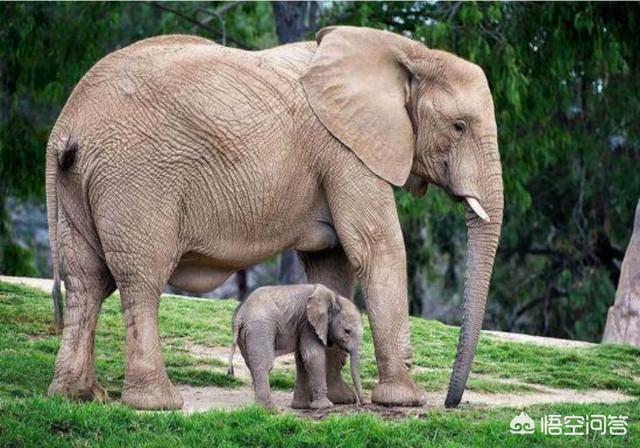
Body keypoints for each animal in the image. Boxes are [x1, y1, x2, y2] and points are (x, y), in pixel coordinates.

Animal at [227, 283, 364, 410]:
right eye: (347, 331)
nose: (362, 403)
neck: (334, 297)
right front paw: (325, 406)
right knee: (264, 363)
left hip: (244, 334)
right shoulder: (309, 324)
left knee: (251, 364)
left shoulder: (302, 325)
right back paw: (269, 410)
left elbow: (302, 358)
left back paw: (257, 408)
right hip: (260, 328)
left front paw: (301, 407)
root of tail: (240, 316)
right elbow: (313, 356)